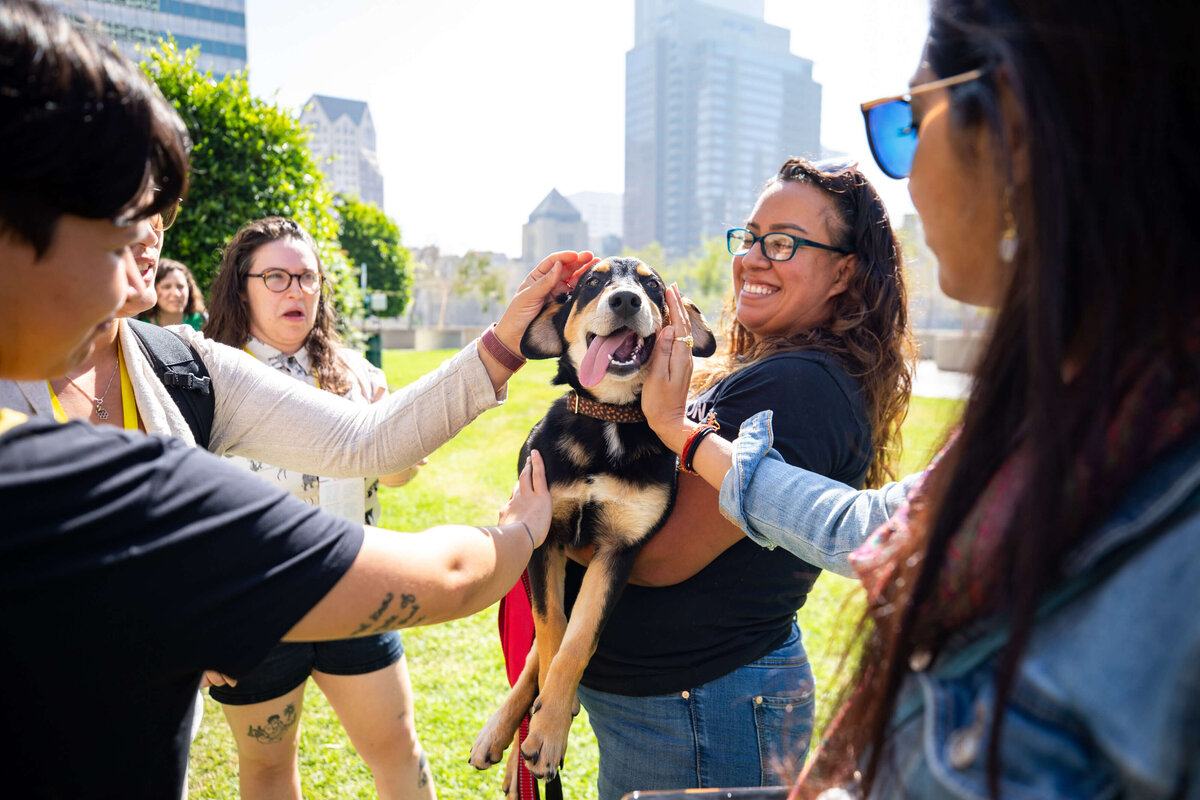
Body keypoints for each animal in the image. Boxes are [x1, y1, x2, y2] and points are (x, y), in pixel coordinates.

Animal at [468, 257, 710, 786]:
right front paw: (546, 719)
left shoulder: (620, 550)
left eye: (651, 285)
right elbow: (551, 629)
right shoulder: (543, 538)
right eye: (593, 282)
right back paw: (500, 733)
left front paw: (550, 727)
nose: (625, 300)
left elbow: (578, 640)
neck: (609, 421)